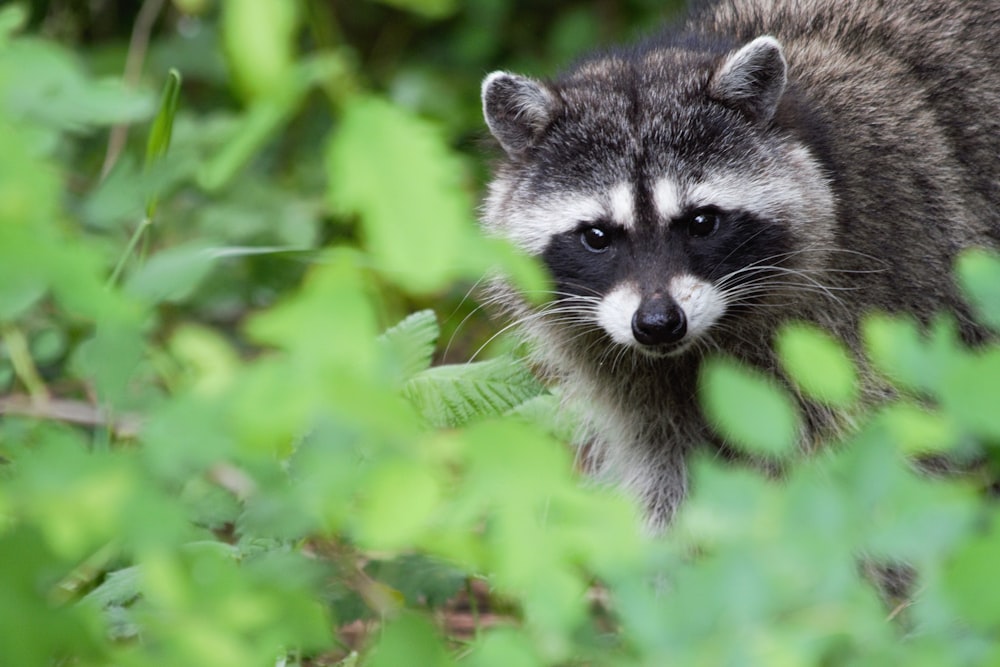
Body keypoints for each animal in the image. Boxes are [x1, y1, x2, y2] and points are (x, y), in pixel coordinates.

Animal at [476, 0, 1000, 528]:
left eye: (702, 222)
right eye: (597, 237)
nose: (658, 323)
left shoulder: (889, 294)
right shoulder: (637, 385)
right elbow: (668, 475)